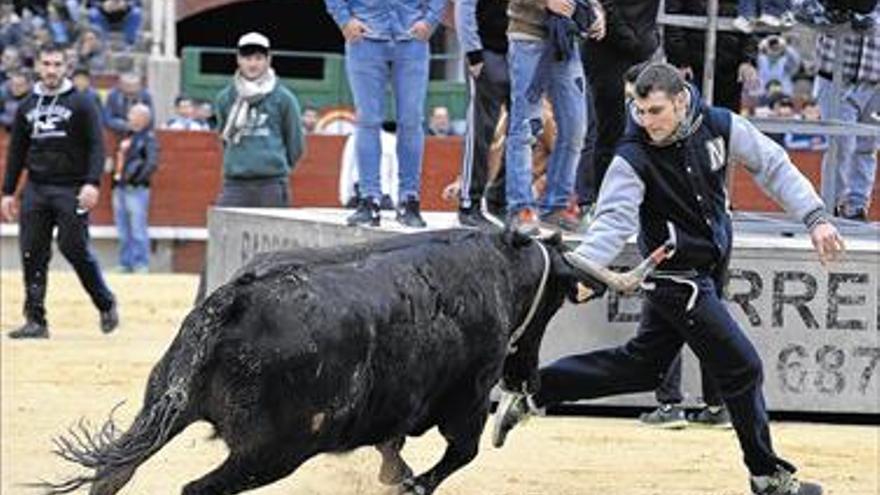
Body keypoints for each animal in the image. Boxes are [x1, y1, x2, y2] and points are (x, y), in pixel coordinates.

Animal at [44, 230, 600, 495]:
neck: (499, 269)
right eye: (554, 302)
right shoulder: (467, 397)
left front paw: (395, 472)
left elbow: (395, 446)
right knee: (195, 490)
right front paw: (409, 483)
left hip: (162, 407)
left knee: (114, 473)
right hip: (272, 453)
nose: (527, 377)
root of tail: (233, 300)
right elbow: (461, 453)